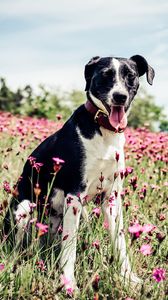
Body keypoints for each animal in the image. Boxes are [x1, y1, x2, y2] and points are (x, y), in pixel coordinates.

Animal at [2, 54, 155, 290]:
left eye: (130, 76)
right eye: (105, 75)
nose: (119, 97)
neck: (104, 130)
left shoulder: (111, 197)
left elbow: (120, 242)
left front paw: (128, 278)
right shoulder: (74, 194)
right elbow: (70, 248)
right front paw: (68, 283)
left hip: (80, 215)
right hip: (24, 210)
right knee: (16, 248)